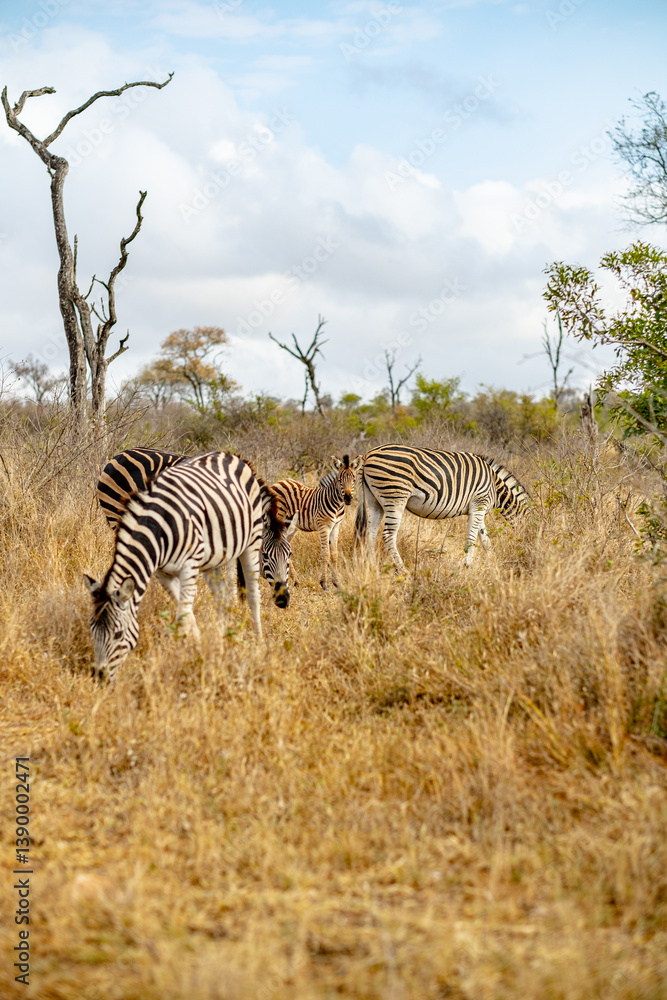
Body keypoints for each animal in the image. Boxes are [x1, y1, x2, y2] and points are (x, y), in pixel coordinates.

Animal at [85, 451, 292, 681]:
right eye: (91, 630)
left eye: (289, 555)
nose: (100, 678)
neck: (160, 529)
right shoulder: (164, 572)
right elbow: (186, 610)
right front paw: (199, 649)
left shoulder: (193, 564)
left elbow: (186, 612)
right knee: (222, 597)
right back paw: (225, 641)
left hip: (247, 542)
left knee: (253, 596)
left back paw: (258, 644)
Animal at [270, 454, 362, 590]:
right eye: (340, 480)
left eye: (354, 480)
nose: (348, 498)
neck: (337, 504)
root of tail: (279, 482)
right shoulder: (324, 527)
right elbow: (325, 554)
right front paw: (324, 583)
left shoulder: (336, 526)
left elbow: (334, 555)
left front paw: (337, 583)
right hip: (279, 520)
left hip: (291, 526)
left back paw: (296, 580)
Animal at [354, 444, 531, 569]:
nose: (526, 552)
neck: (495, 485)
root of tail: (367, 455)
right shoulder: (479, 503)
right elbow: (472, 537)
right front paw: (467, 566)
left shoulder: (478, 508)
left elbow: (484, 538)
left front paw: (493, 562)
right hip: (395, 496)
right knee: (388, 535)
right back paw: (403, 570)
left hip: (374, 501)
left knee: (370, 533)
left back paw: (372, 565)